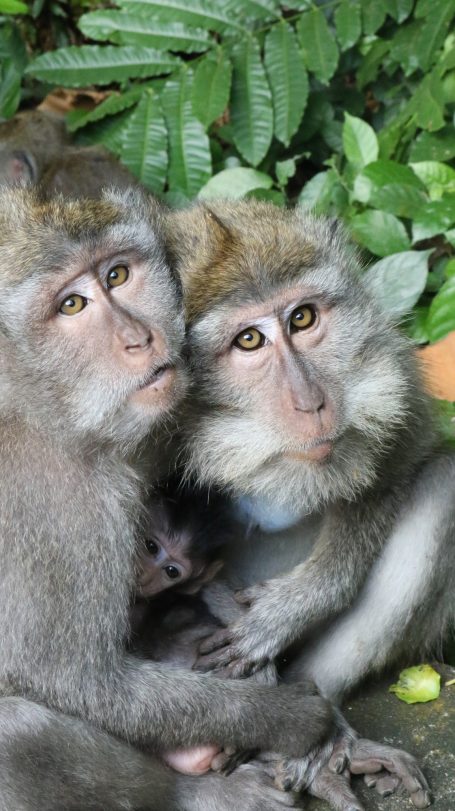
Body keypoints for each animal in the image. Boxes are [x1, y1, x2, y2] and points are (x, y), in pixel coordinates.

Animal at [0, 185, 358, 811]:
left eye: (117, 275)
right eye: (71, 306)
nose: (139, 338)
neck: (34, 406)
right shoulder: (55, 499)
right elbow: (78, 680)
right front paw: (287, 717)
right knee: (15, 732)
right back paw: (197, 793)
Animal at [162, 198, 448, 807]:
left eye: (302, 319)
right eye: (249, 341)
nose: (311, 402)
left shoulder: (387, 364)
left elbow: (388, 477)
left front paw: (288, 611)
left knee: (442, 484)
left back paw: (319, 734)